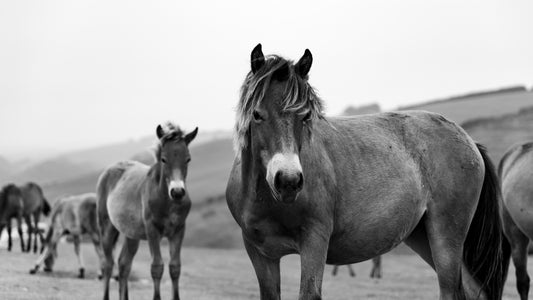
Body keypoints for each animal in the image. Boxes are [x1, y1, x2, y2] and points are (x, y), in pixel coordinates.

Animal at [97, 122, 197, 300]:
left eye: (188, 159)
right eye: (163, 159)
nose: (177, 192)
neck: (168, 202)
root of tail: (108, 170)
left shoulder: (178, 231)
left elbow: (175, 268)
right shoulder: (152, 231)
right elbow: (157, 267)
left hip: (131, 234)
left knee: (124, 264)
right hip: (107, 228)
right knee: (108, 264)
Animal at [223, 44, 508, 300]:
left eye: (304, 116)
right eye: (257, 115)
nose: (289, 181)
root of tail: (468, 140)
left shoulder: (314, 242)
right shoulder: (261, 254)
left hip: (446, 237)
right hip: (423, 237)